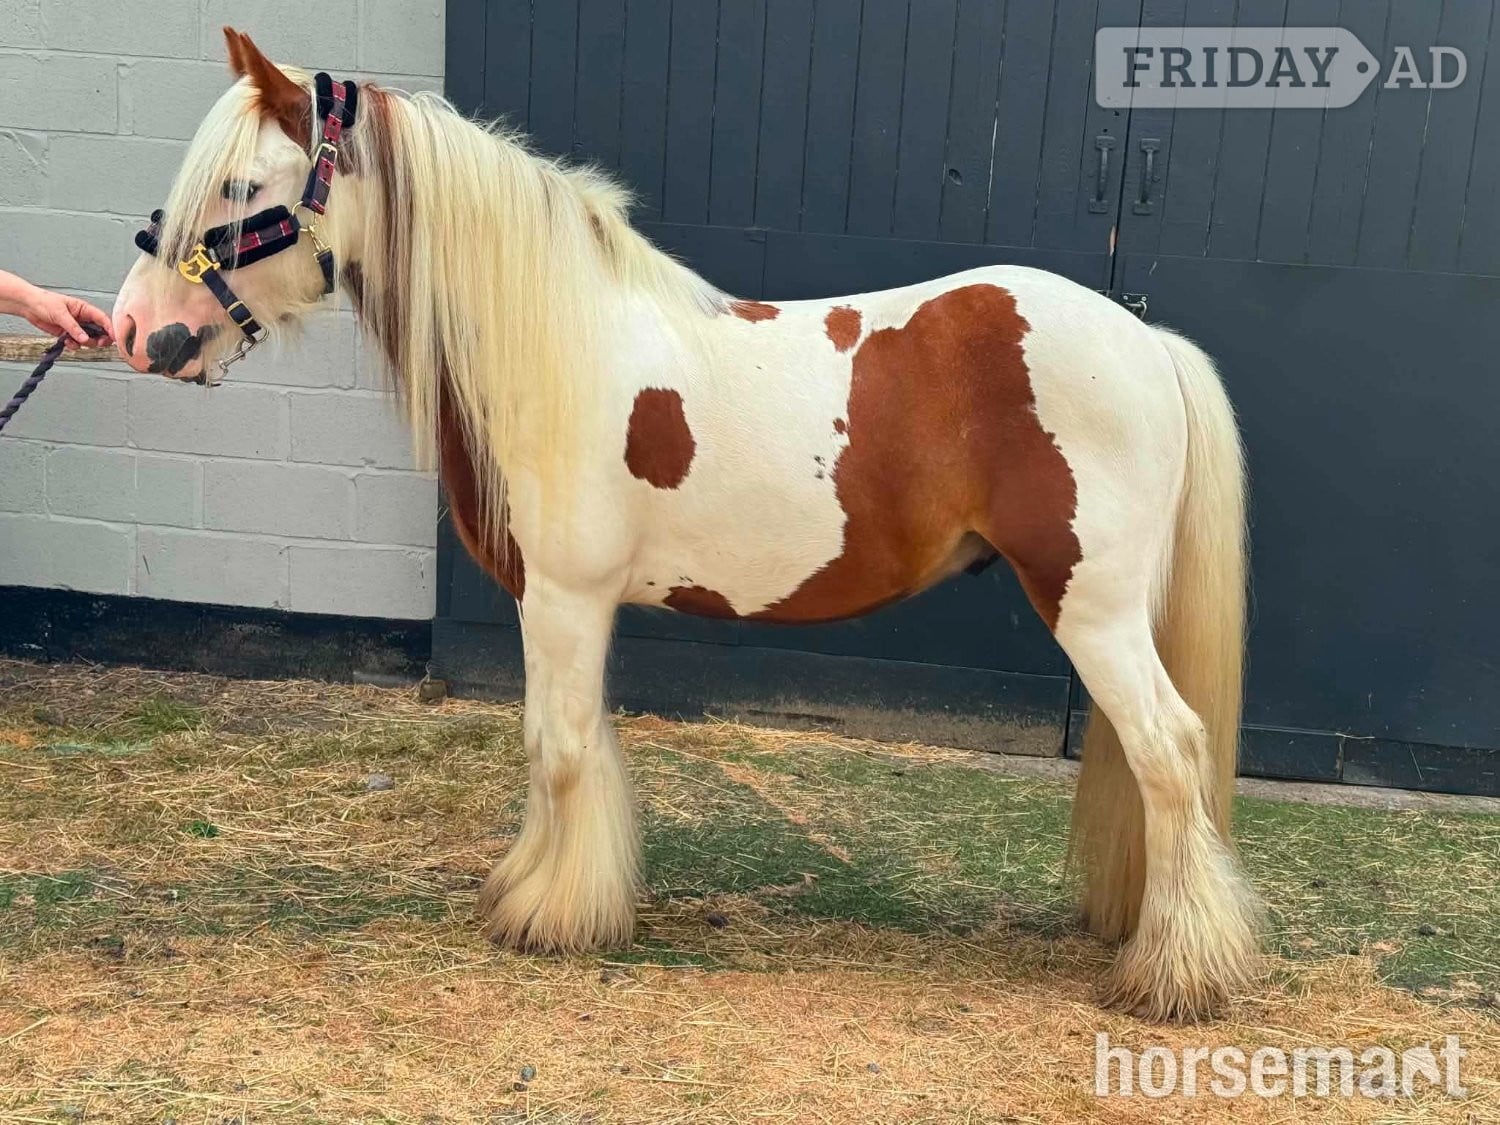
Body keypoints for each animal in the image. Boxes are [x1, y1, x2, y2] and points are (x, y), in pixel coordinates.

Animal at [111, 28, 1261, 1021]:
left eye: (241, 190)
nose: (137, 331)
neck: (555, 342)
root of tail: (1147, 341)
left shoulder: (569, 598)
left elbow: (562, 746)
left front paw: (551, 915)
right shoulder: (546, 603)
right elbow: (549, 743)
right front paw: (534, 886)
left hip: (1092, 607)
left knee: (1169, 749)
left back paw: (1175, 974)